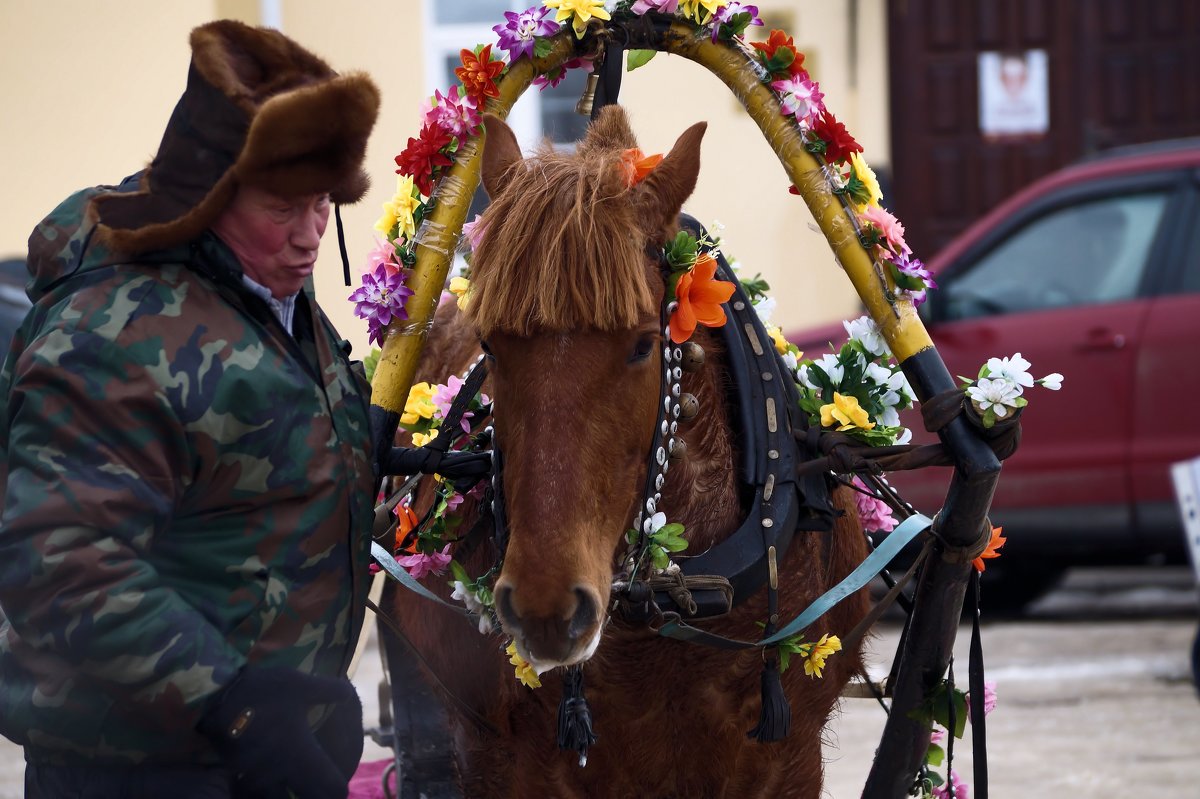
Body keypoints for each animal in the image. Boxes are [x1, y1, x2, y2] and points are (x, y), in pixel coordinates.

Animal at [384, 107, 873, 796]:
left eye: (644, 344)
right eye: (491, 345)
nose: (546, 607)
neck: (672, 596)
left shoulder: (788, 756)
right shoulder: (500, 760)